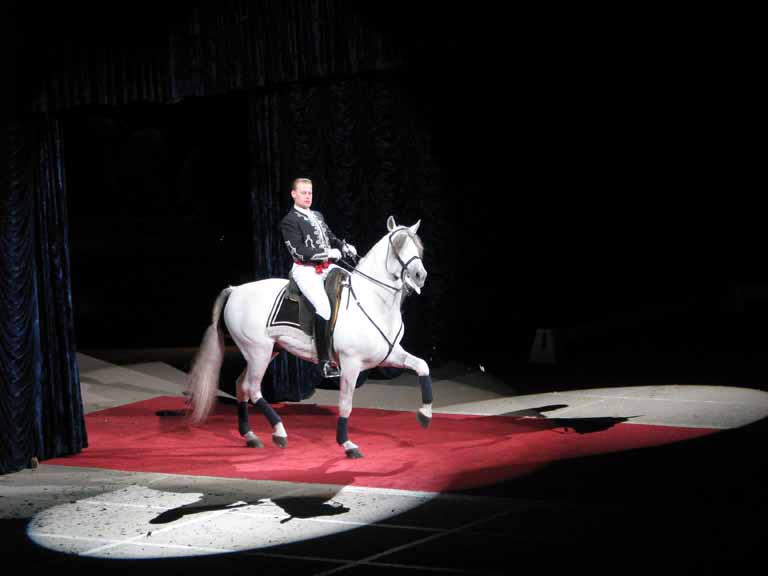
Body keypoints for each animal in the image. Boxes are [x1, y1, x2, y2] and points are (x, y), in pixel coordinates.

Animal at [187, 214, 432, 456]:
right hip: (258, 351)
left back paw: (250, 435)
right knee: (252, 388)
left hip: (267, 351)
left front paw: (425, 414)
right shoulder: (351, 363)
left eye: (417, 246)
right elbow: (346, 403)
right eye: (398, 245)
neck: (371, 300)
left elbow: (422, 366)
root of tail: (236, 289)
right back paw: (279, 432)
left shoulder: (389, 355)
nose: (420, 275)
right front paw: (346, 443)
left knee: (241, 386)